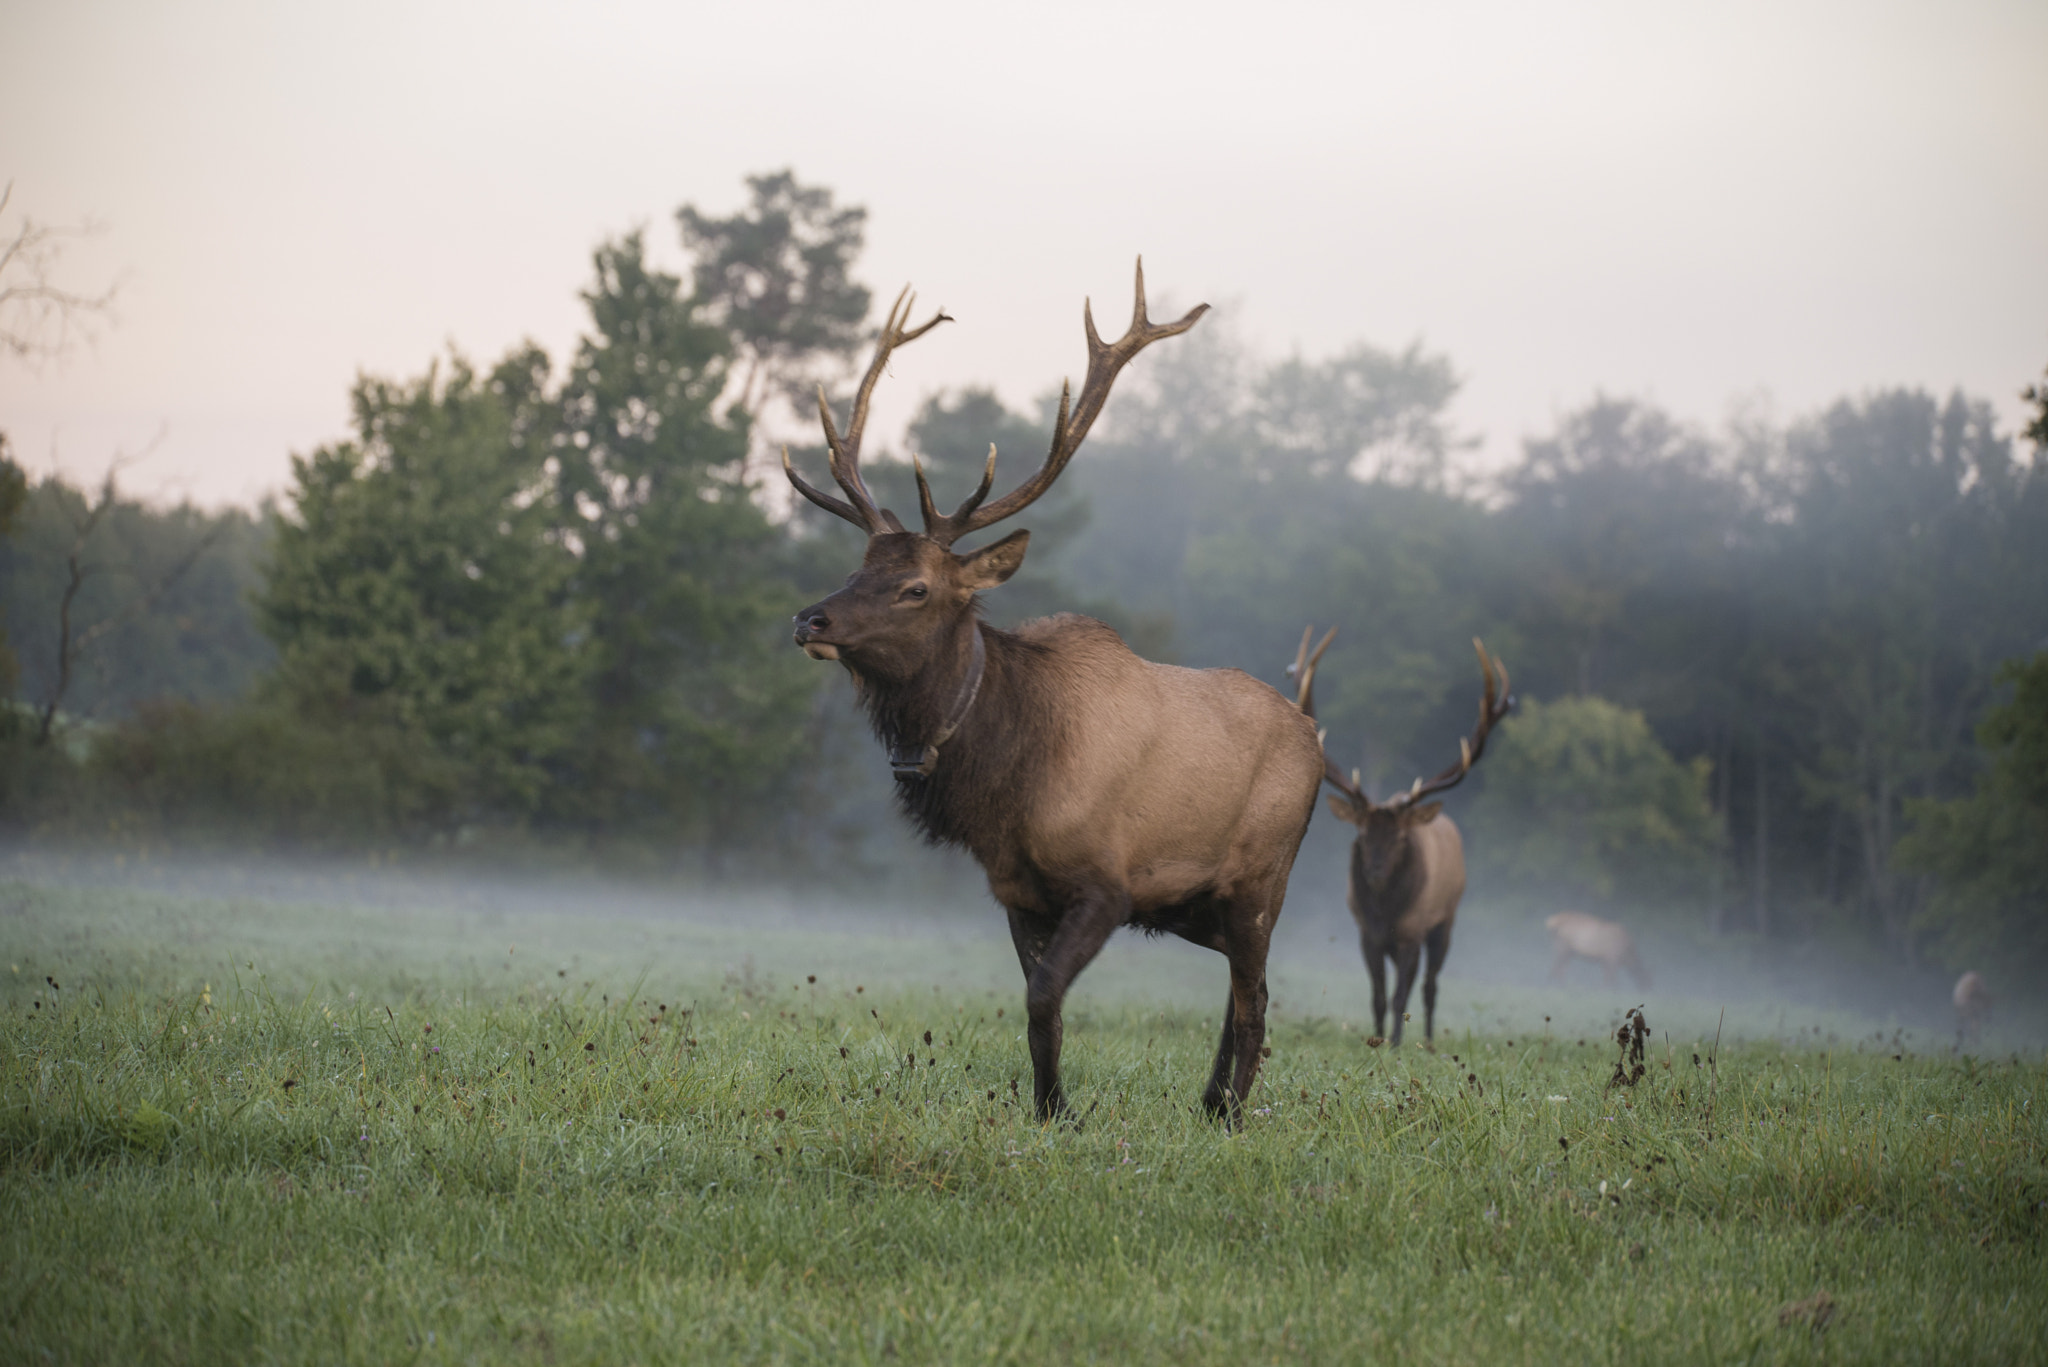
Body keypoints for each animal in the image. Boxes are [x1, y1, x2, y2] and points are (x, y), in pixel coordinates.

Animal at [782, 264, 1327, 1123]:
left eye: (914, 587)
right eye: (854, 566)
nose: (810, 618)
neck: (1006, 781)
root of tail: (1316, 738)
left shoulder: (1106, 882)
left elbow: (1042, 996)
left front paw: (1060, 1110)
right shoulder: (1017, 892)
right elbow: (1045, 1008)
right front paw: (1047, 1107)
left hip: (1260, 878)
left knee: (1255, 1001)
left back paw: (1233, 1115)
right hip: (1196, 905)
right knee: (1245, 992)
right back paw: (1210, 1102)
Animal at [1286, 631, 1515, 1049]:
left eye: (1401, 837)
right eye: (1362, 833)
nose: (1375, 872)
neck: (1386, 912)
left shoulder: (1413, 931)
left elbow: (1400, 995)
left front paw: (1394, 1044)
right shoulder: (1367, 934)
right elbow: (1377, 994)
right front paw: (1376, 1038)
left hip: (1446, 920)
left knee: (1430, 986)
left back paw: (1428, 1039)